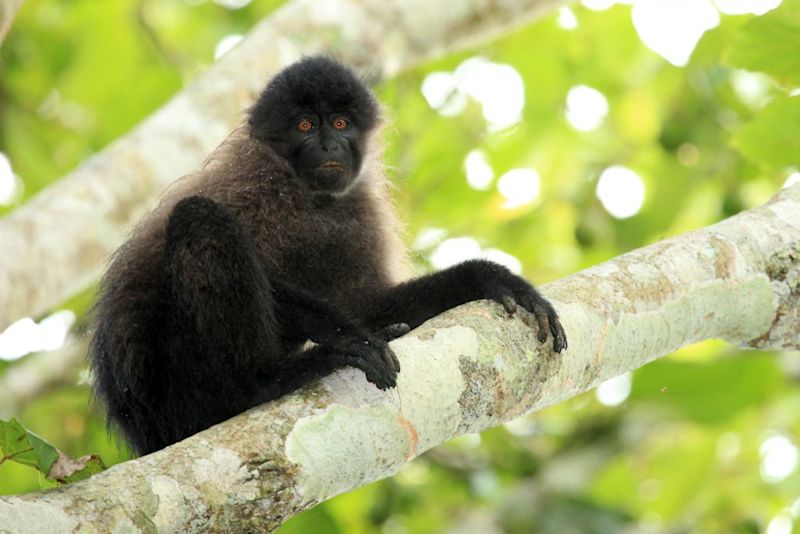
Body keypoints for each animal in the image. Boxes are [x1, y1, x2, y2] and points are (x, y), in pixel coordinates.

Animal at [89, 56, 568, 456]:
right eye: (305, 125)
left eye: (340, 122)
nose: (329, 145)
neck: (311, 197)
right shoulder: (255, 186)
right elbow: (287, 289)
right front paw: (349, 338)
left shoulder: (356, 213)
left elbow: (368, 303)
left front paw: (486, 278)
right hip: (180, 386)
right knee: (200, 217)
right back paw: (262, 382)